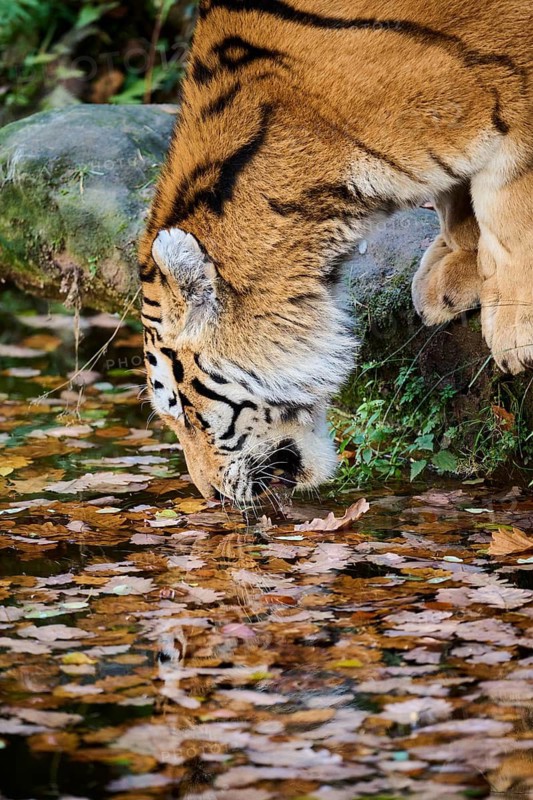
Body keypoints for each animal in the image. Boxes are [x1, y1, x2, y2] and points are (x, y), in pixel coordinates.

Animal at [139, 0, 533, 506]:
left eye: (184, 411)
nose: (209, 494)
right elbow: (457, 199)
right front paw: (452, 272)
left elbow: (506, 198)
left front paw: (515, 331)